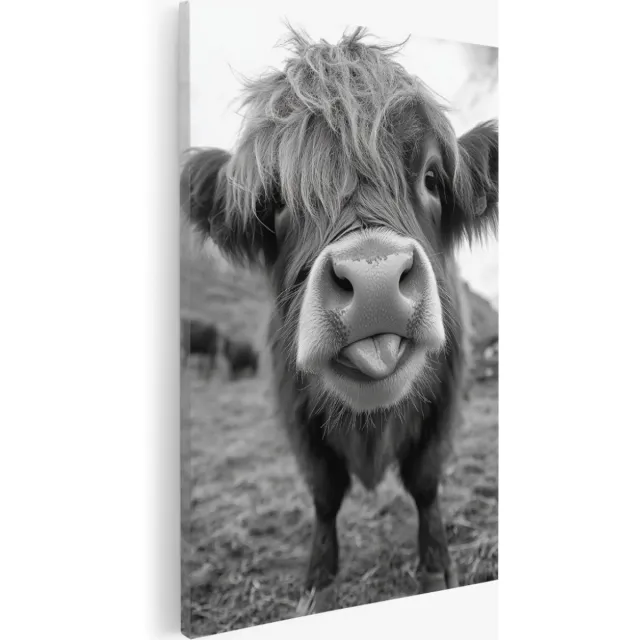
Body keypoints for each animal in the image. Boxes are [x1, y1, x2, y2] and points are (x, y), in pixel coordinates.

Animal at [180, 27, 498, 613]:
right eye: (272, 202)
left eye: (432, 178)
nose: (374, 281)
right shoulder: (296, 414)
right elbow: (325, 494)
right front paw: (318, 582)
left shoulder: (446, 400)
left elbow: (425, 484)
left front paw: (435, 568)